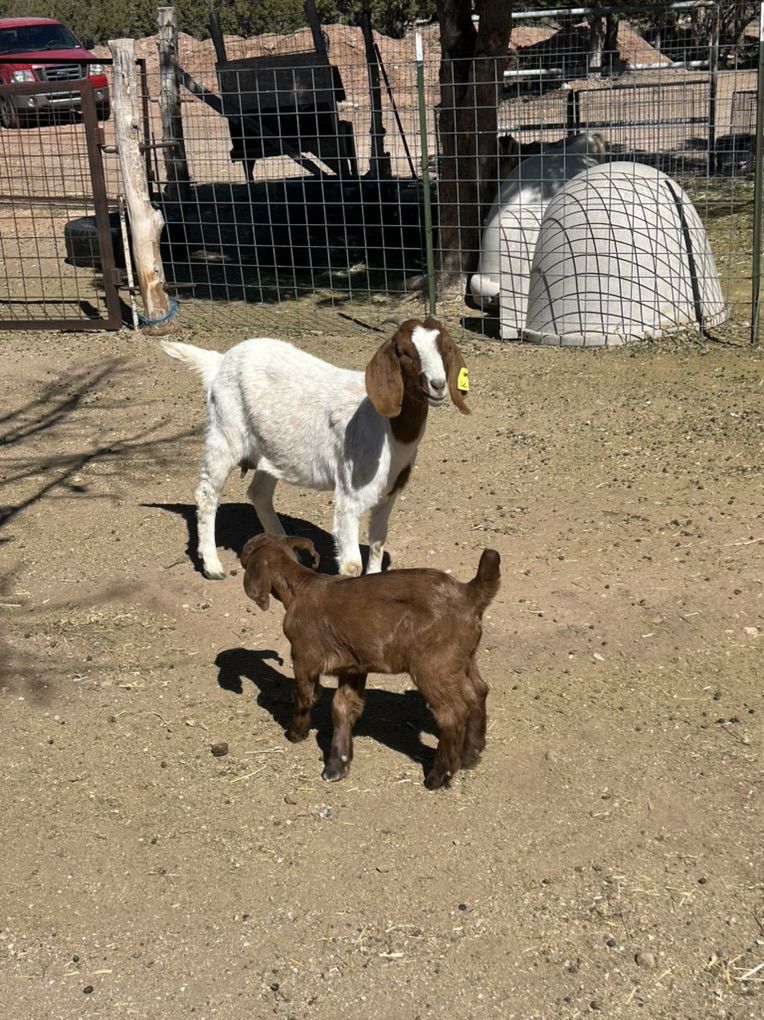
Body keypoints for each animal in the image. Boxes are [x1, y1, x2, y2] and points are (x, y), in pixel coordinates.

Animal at [160, 318, 469, 580]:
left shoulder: (388, 494)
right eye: (404, 352)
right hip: (225, 433)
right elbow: (352, 565)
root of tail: (220, 361)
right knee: (207, 493)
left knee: (258, 493)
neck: (390, 430)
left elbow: (378, 544)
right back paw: (212, 565)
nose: (438, 385)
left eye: (445, 347)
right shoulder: (350, 494)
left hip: (271, 449)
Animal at [241, 534, 500, 790]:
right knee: (478, 692)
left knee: (451, 714)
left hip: (433, 666)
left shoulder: (304, 657)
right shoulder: (353, 665)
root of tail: (469, 594)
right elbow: (343, 707)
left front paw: (296, 734)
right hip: (462, 660)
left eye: (249, 549)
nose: (242, 554)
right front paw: (337, 764)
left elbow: (305, 696)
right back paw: (470, 756)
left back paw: (439, 776)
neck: (300, 586)